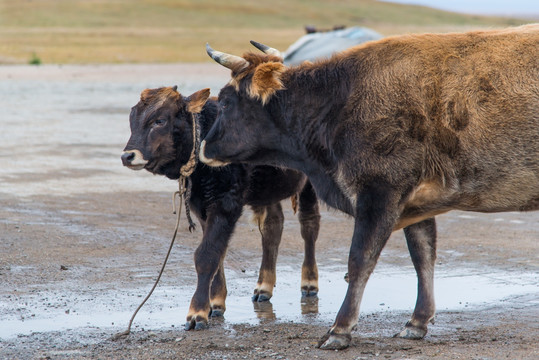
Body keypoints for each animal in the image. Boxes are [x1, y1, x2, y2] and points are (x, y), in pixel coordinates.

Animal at [199, 24, 539, 348]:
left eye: (226, 102)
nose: (203, 147)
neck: (338, 103)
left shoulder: (379, 193)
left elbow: (360, 259)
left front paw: (339, 329)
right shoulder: (417, 202)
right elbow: (423, 255)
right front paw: (417, 322)